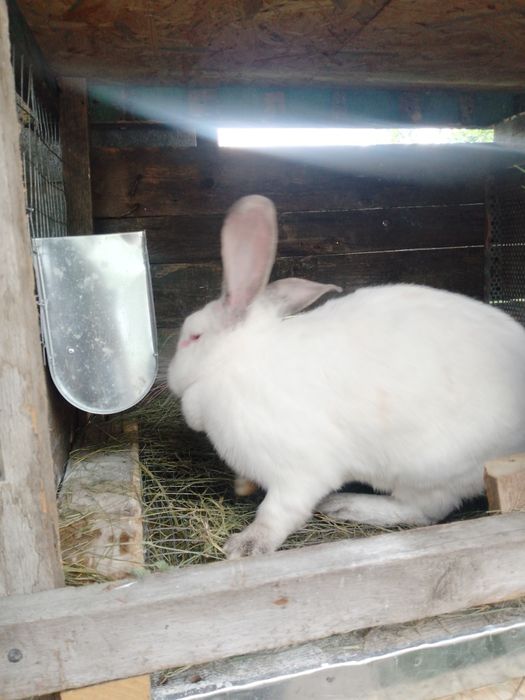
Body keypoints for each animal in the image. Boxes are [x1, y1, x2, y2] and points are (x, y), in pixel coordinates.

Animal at [168, 194, 525, 559]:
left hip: (431, 470)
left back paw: (344, 504)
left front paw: (246, 545)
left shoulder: (297, 471)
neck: (236, 361)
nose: (172, 378)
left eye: (193, 337)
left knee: (422, 511)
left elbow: (278, 512)